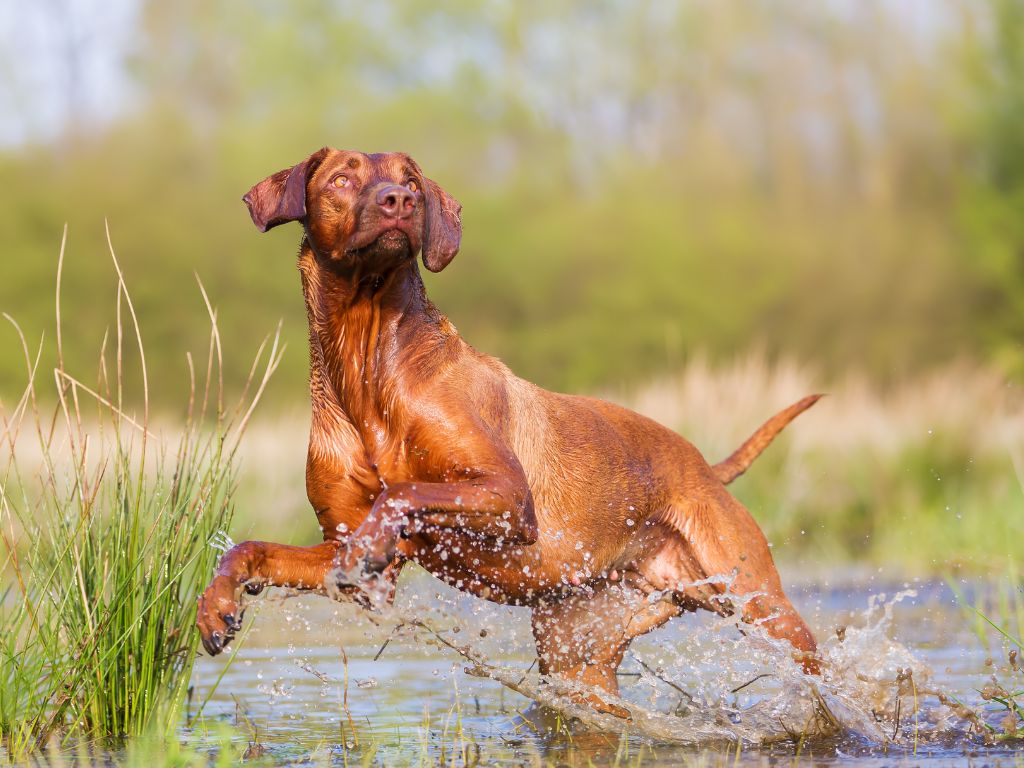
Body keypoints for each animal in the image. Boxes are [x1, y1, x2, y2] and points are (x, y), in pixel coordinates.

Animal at [195, 148, 819, 716]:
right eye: (342, 179)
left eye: (409, 181)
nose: (400, 201)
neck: (365, 361)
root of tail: (704, 467)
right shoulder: (347, 553)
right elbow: (252, 548)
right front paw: (215, 605)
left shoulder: (508, 495)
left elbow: (404, 492)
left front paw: (374, 536)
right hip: (577, 651)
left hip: (763, 605)